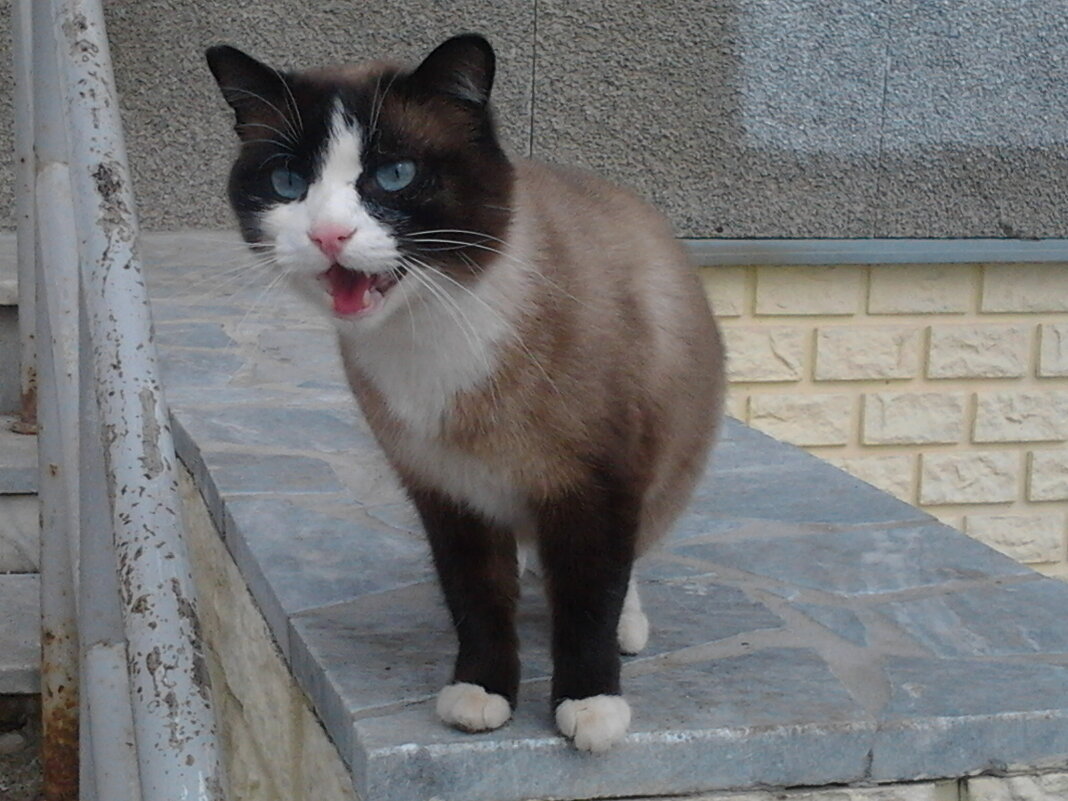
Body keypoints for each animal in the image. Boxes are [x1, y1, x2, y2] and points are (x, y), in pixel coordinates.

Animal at [208, 34, 726, 756]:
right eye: (288, 184)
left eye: (394, 175)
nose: (329, 236)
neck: (430, 334)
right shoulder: (449, 493)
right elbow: (478, 602)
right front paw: (482, 693)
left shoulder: (596, 484)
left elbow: (590, 600)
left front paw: (590, 704)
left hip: (655, 477)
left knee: (624, 564)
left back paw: (624, 627)